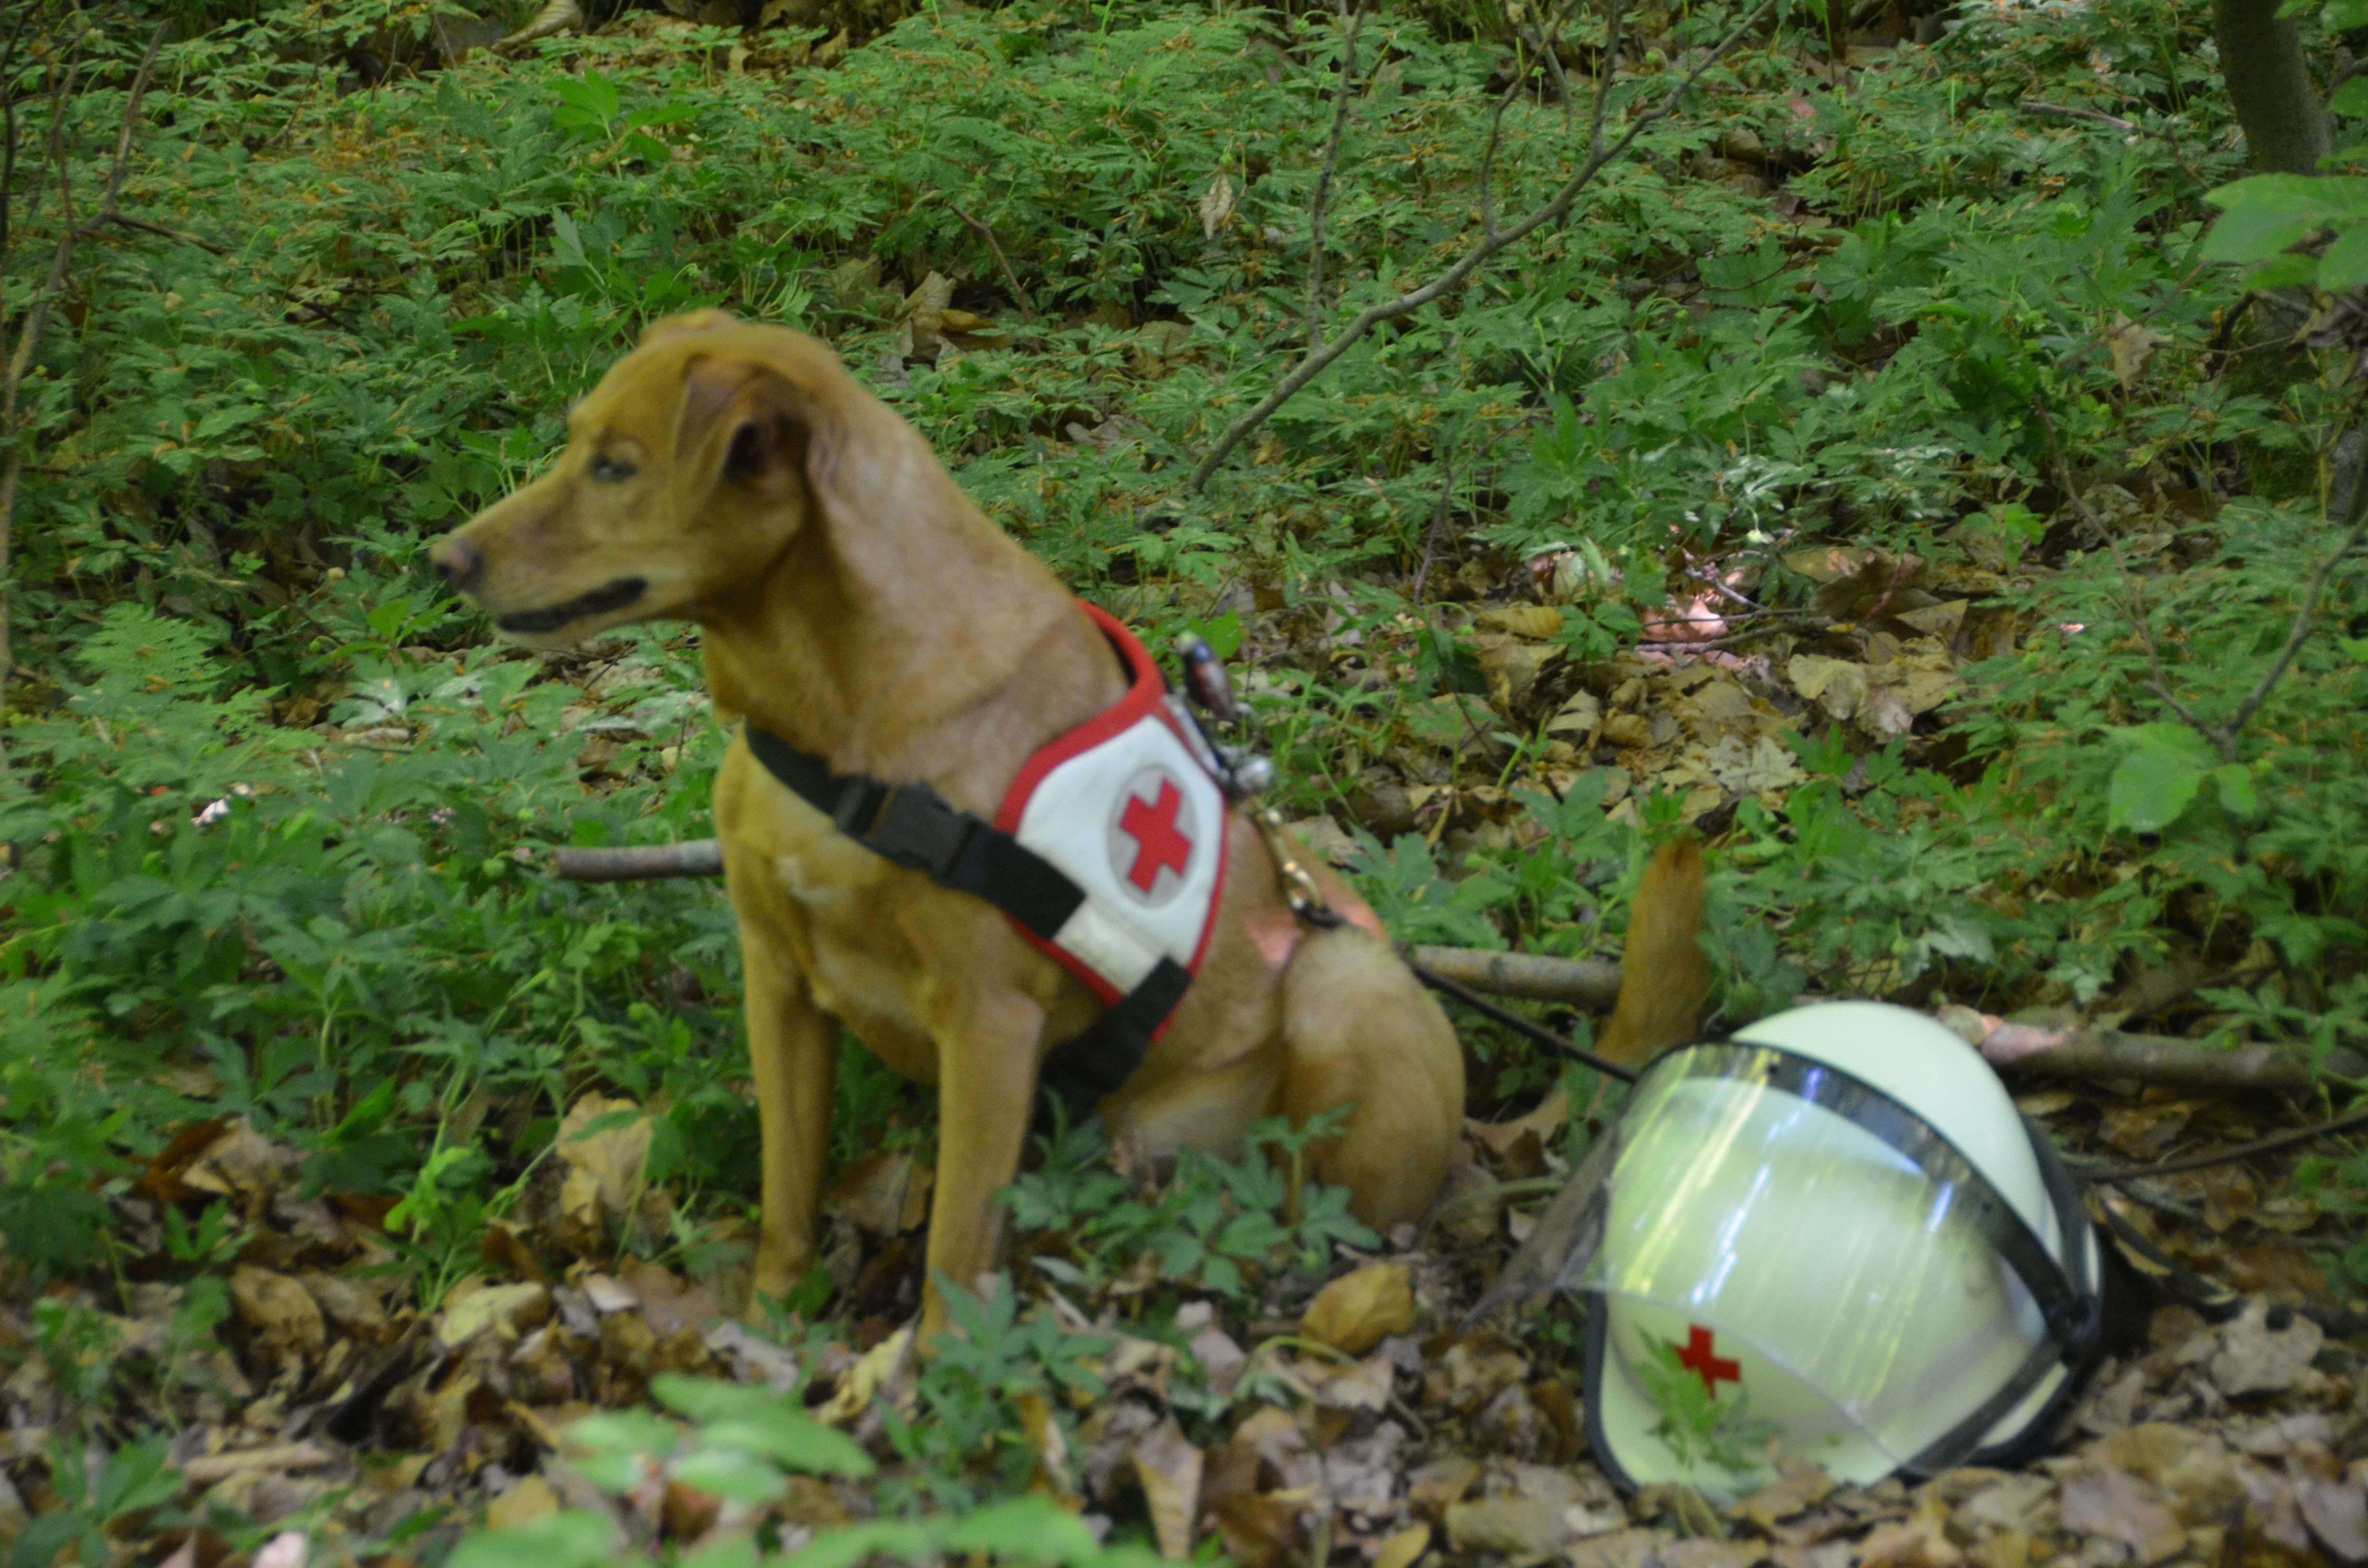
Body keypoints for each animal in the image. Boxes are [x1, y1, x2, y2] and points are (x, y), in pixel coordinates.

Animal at [435, 310, 1705, 1335]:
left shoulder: (988, 1027)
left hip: (1347, 989)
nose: (442, 558)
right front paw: (770, 1339)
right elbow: (788, 1196)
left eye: (615, 466)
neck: (837, 715)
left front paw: (919, 1392)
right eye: (576, 443)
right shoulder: (777, 980)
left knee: (1328, 1226)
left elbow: (954, 1251)